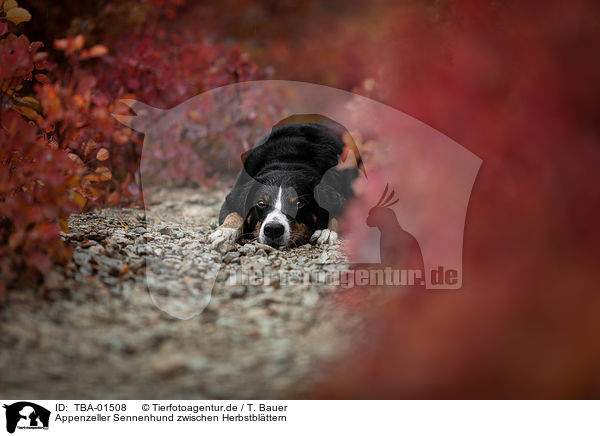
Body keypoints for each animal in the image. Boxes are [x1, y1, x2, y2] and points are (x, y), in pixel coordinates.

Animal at [209, 114, 364, 250]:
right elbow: (234, 214)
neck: (287, 161)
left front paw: (328, 231)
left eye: (299, 203)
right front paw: (225, 231)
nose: (273, 229)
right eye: (261, 203)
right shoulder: (232, 199)